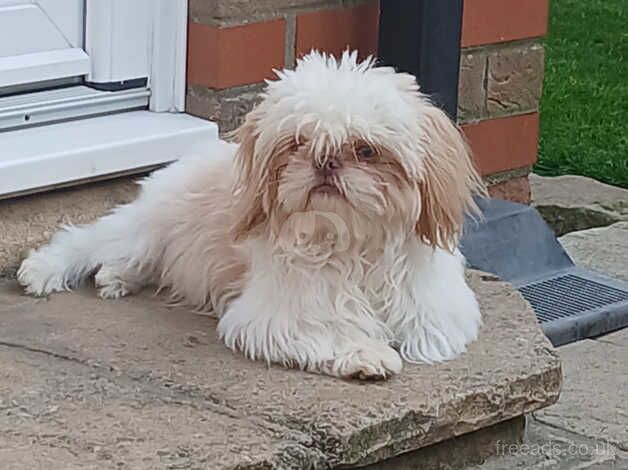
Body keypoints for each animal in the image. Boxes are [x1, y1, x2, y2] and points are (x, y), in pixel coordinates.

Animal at [15, 51, 486, 380]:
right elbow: (331, 329)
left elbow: (424, 332)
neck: (351, 243)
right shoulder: (279, 315)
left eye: (366, 150)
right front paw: (367, 353)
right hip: (145, 227)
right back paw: (45, 270)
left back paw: (116, 277)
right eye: (299, 143)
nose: (326, 164)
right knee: (88, 241)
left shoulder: (436, 313)